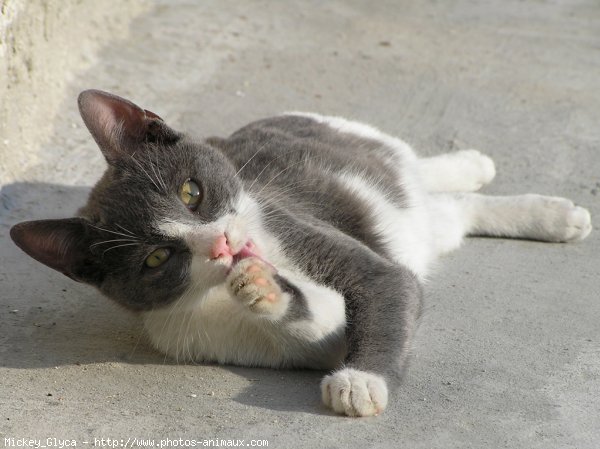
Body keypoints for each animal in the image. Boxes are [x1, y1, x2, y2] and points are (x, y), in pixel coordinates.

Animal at [9, 88, 592, 416]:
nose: (222, 243)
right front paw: (266, 292)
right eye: (156, 259)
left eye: (191, 192)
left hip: (347, 141)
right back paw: (542, 211)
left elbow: (389, 288)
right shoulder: (207, 333)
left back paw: (481, 170)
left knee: (410, 168)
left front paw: (363, 380)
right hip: (420, 223)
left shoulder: (294, 226)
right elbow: (324, 327)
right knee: (450, 212)